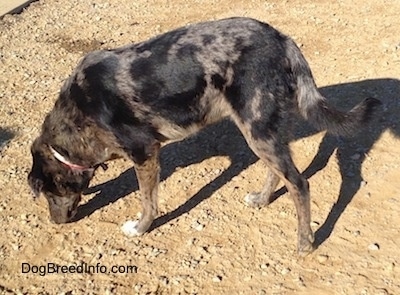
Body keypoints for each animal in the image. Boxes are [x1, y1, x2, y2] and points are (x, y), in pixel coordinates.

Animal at [26, 17, 380, 256]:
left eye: (48, 193)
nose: (56, 223)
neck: (78, 113)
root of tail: (282, 39)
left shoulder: (144, 153)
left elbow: (148, 201)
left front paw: (140, 228)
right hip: (267, 131)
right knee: (279, 173)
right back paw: (262, 199)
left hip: (257, 129)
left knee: (300, 183)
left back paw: (305, 242)